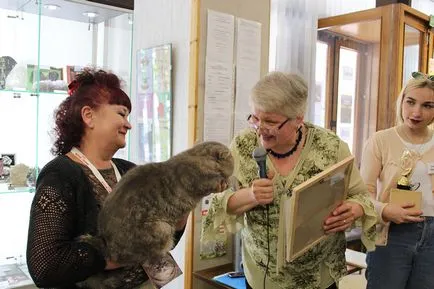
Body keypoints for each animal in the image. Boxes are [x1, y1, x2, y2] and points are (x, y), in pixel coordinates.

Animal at [78, 141, 234, 286]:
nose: (233, 175)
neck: (196, 156)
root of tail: (105, 242)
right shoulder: (201, 180)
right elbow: (214, 182)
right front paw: (226, 183)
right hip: (162, 229)